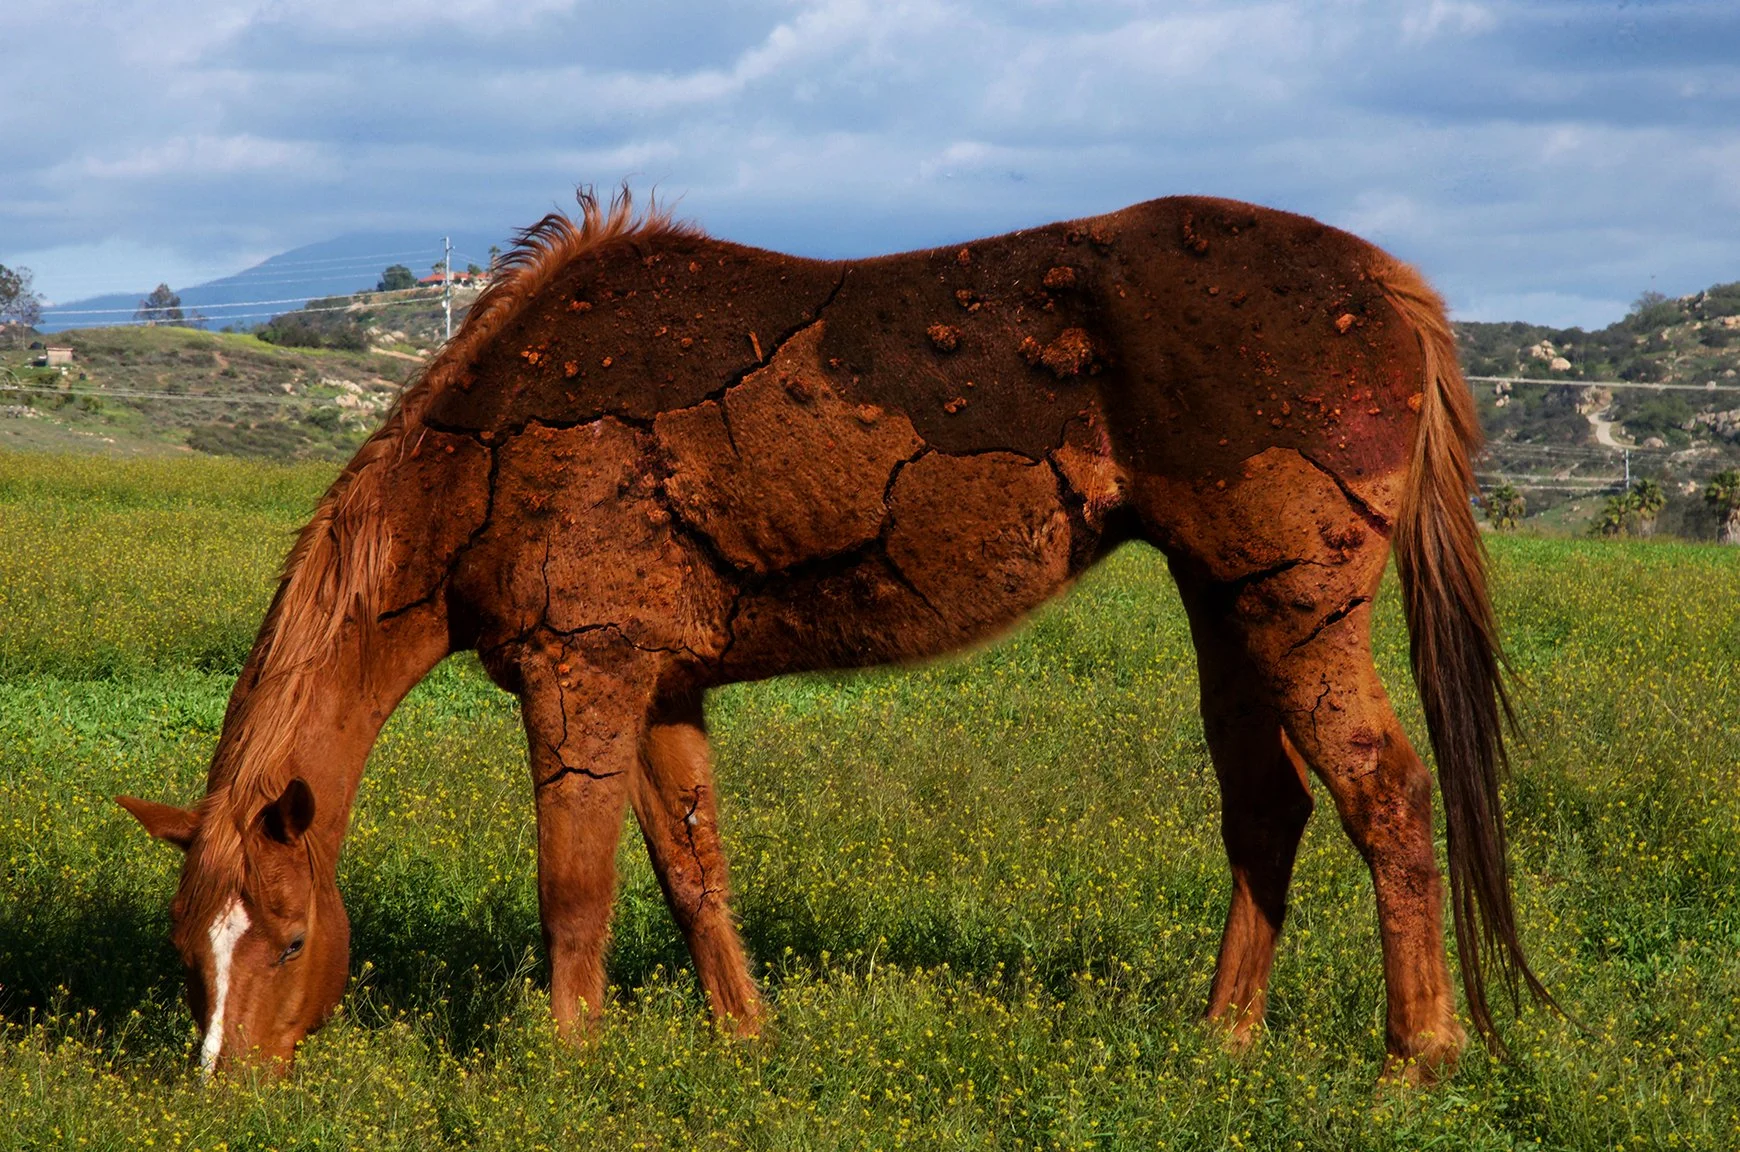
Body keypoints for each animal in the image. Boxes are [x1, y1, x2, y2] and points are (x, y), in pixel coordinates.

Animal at [118, 187, 1545, 1081]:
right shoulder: (663, 684)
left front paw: (569, 1066)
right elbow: (692, 871)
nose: (227, 1088)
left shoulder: (583, 674)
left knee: (1385, 797)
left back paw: (1415, 1060)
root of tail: (1391, 291)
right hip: (1228, 606)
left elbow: (575, 886)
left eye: (287, 940)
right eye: (191, 954)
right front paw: (743, 1043)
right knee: (1269, 813)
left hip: (1299, 609)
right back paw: (1220, 1042)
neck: (494, 441)